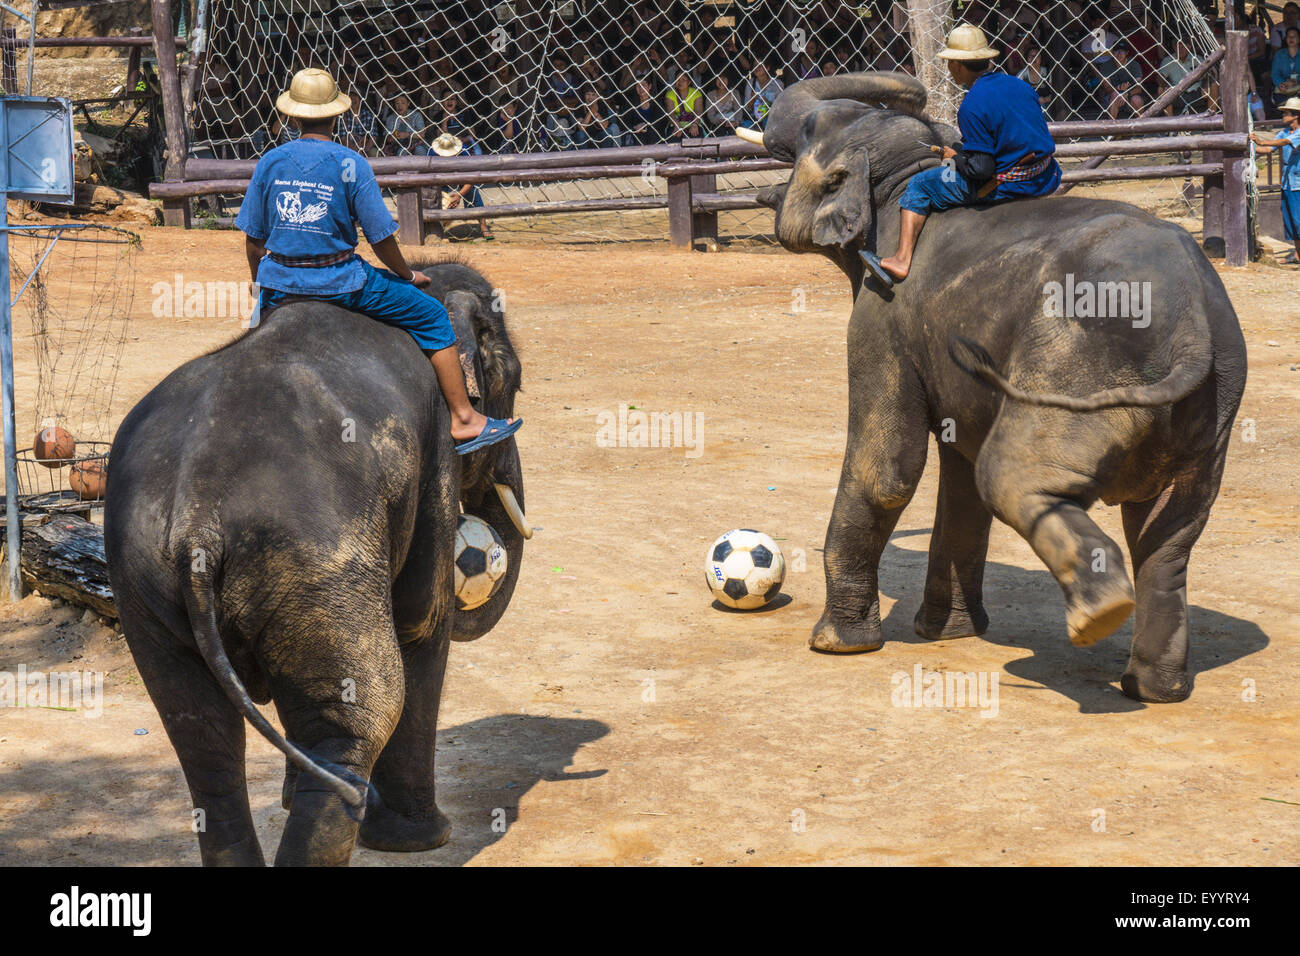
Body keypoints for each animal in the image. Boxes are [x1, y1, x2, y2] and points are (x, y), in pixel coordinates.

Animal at [102, 257, 527, 863]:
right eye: (513, 383)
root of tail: (196, 523)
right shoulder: (435, 447)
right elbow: (421, 618)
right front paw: (426, 840)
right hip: (313, 561)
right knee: (362, 711)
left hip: (144, 581)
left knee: (201, 733)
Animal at [748, 72, 1253, 702]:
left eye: (809, 131)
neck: (904, 178)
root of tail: (1190, 326)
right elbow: (957, 472)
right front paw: (947, 634)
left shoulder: (881, 313)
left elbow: (889, 469)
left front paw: (837, 645)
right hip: (1214, 406)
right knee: (1169, 535)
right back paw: (1152, 689)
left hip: (1076, 369)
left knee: (1010, 476)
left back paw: (1099, 615)